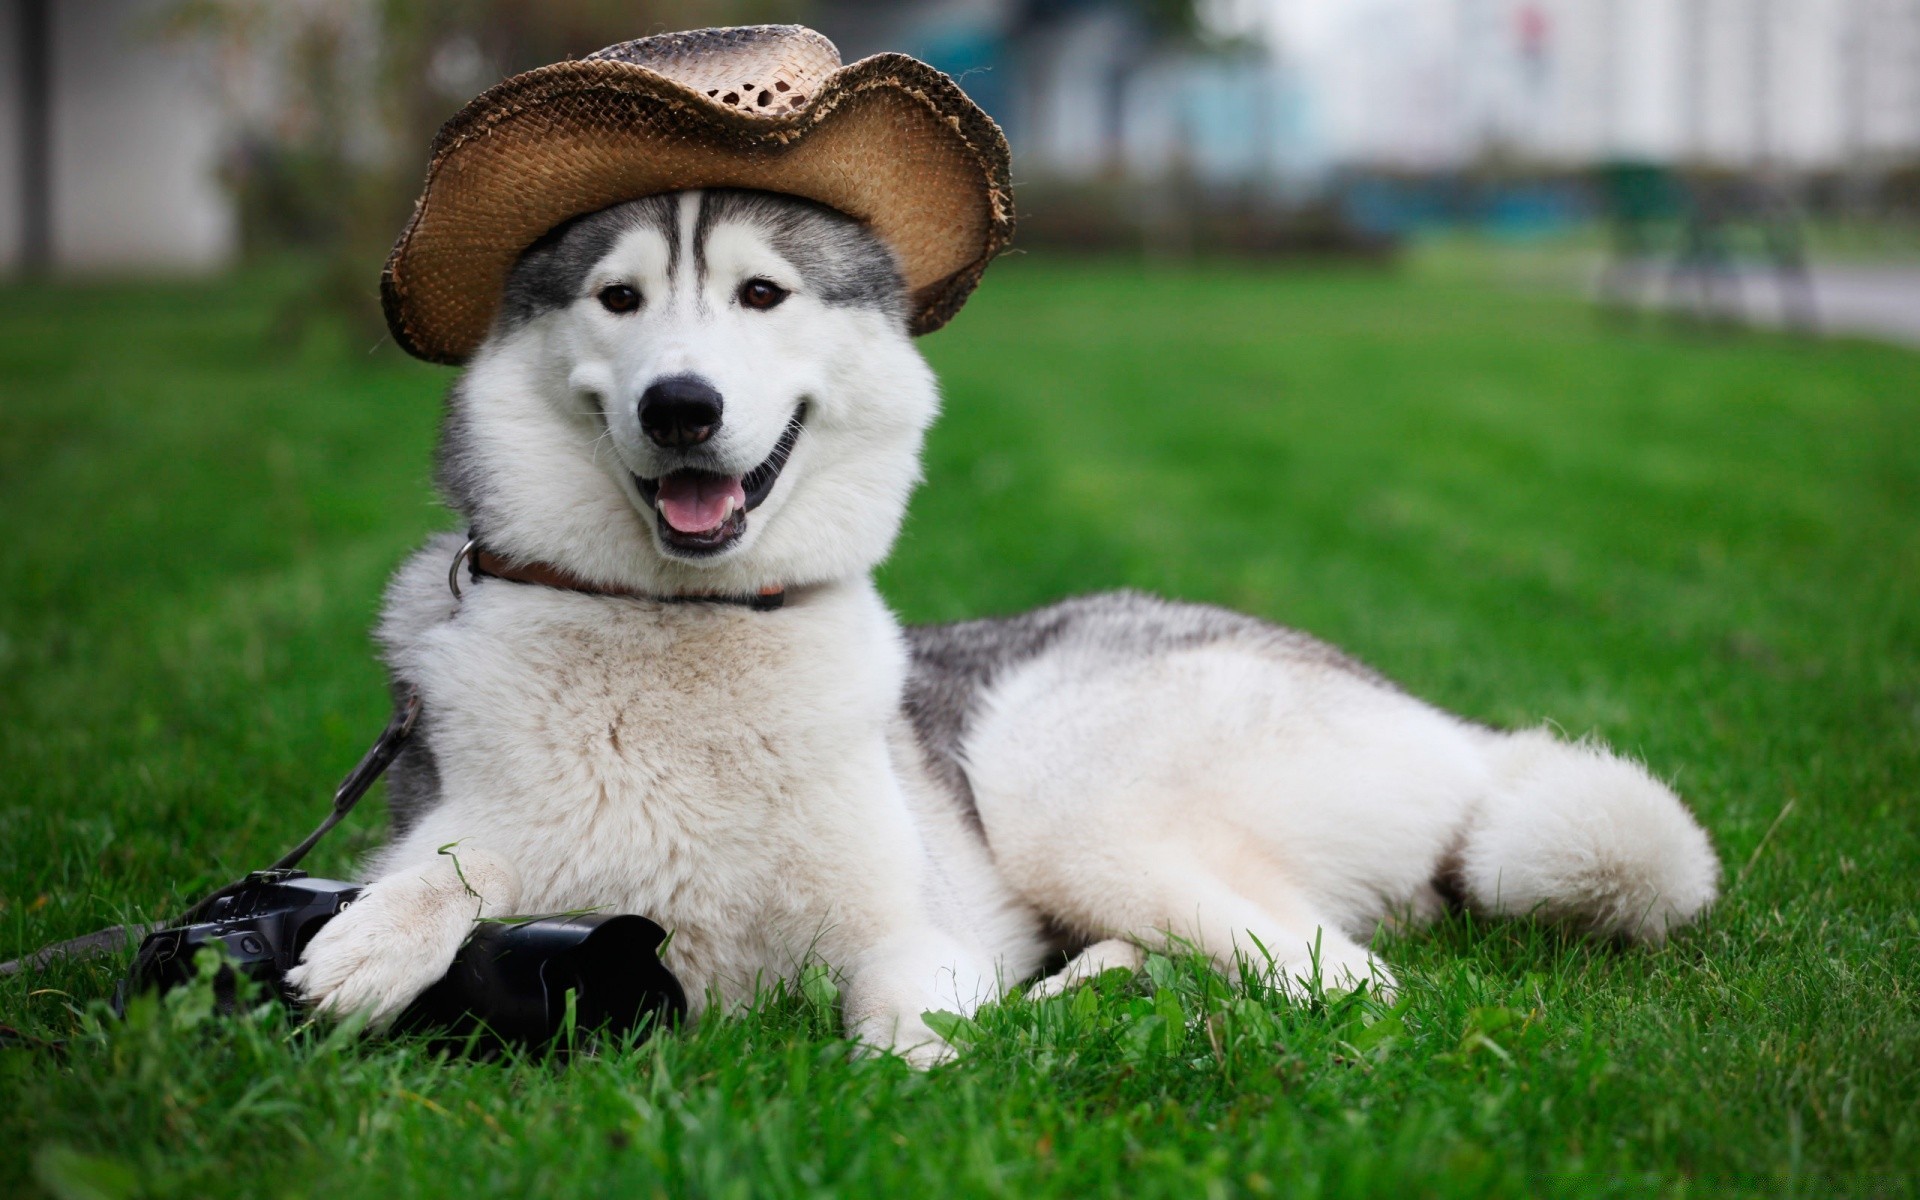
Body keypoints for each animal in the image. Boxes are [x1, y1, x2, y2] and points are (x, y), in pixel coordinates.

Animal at [288, 187, 1728, 1059]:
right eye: (618, 300)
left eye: (762, 295)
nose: (682, 406)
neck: (685, 640)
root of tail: (1447, 727)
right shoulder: (477, 831)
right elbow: (449, 864)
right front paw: (375, 938)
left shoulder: (909, 938)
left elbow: (897, 1049)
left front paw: (945, 1060)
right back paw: (1098, 987)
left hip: (1054, 781)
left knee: (1339, 981)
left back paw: (1086, 1001)